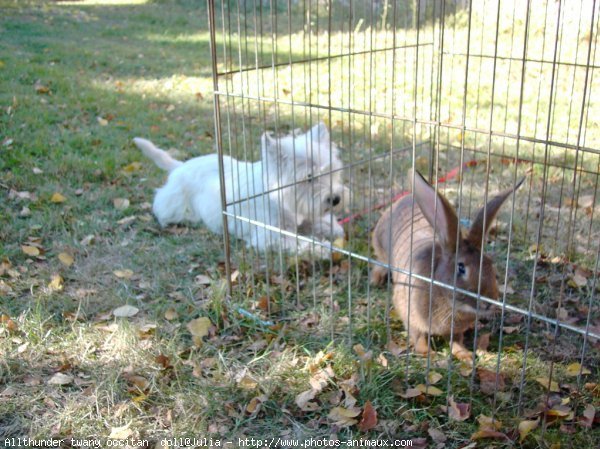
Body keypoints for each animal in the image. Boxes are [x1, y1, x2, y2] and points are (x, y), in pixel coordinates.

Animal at [134, 122, 344, 254]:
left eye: (330, 169)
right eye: (309, 177)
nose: (335, 199)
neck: (276, 195)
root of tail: (180, 165)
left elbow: (321, 223)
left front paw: (332, 229)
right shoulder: (270, 235)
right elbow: (303, 242)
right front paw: (324, 248)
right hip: (176, 205)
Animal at [372, 170, 524, 358]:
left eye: (490, 264)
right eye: (461, 267)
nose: (489, 302)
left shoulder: (455, 330)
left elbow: (456, 341)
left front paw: (465, 355)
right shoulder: (409, 314)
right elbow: (418, 337)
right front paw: (428, 353)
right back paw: (376, 278)